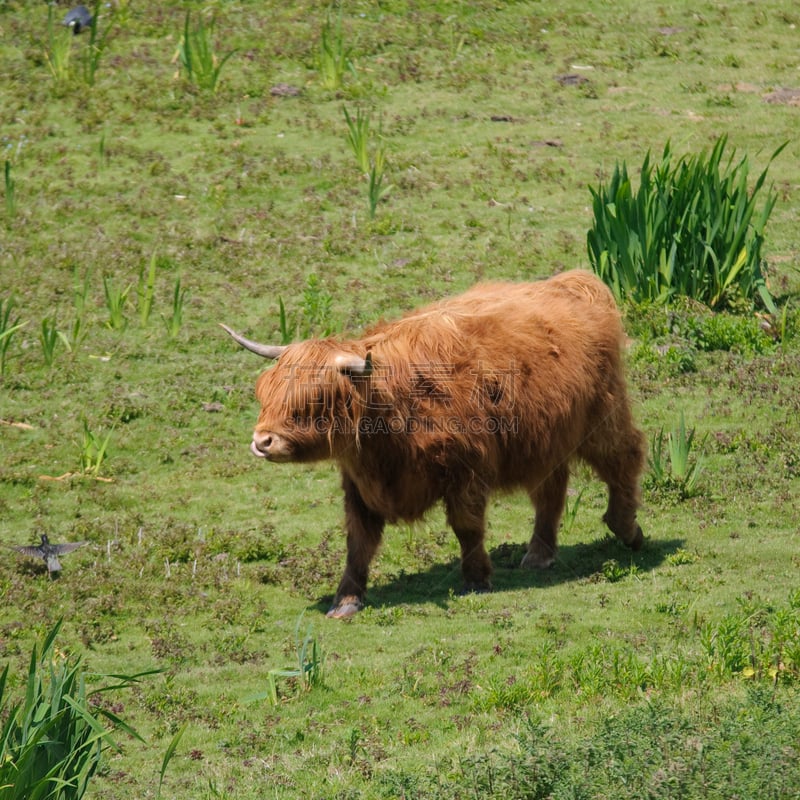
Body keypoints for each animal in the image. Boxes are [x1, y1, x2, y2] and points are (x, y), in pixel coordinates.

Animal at [222, 270, 648, 620]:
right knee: (551, 489)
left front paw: (476, 580)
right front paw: (345, 601)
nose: (262, 441)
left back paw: (627, 529)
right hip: (547, 438)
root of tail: (573, 282)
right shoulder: (359, 487)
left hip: (603, 417)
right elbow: (358, 543)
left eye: (313, 400)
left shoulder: (468, 471)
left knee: (624, 458)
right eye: (265, 392)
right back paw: (539, 555)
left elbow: (467, 526)